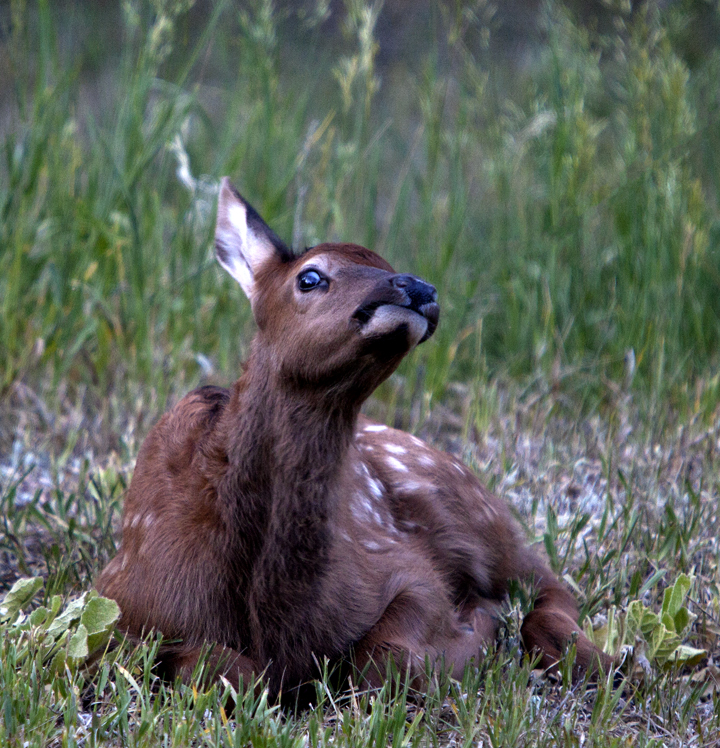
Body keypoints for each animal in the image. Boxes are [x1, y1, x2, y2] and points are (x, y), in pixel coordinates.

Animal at [96, 177, 614, 701]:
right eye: (310, 277)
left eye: (385, 261)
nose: (419, 287)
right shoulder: (124, 610)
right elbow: (220, 672)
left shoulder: (400, 565)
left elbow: (385, 661)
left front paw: (473, 631)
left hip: (480, 521)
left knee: (548, 583)